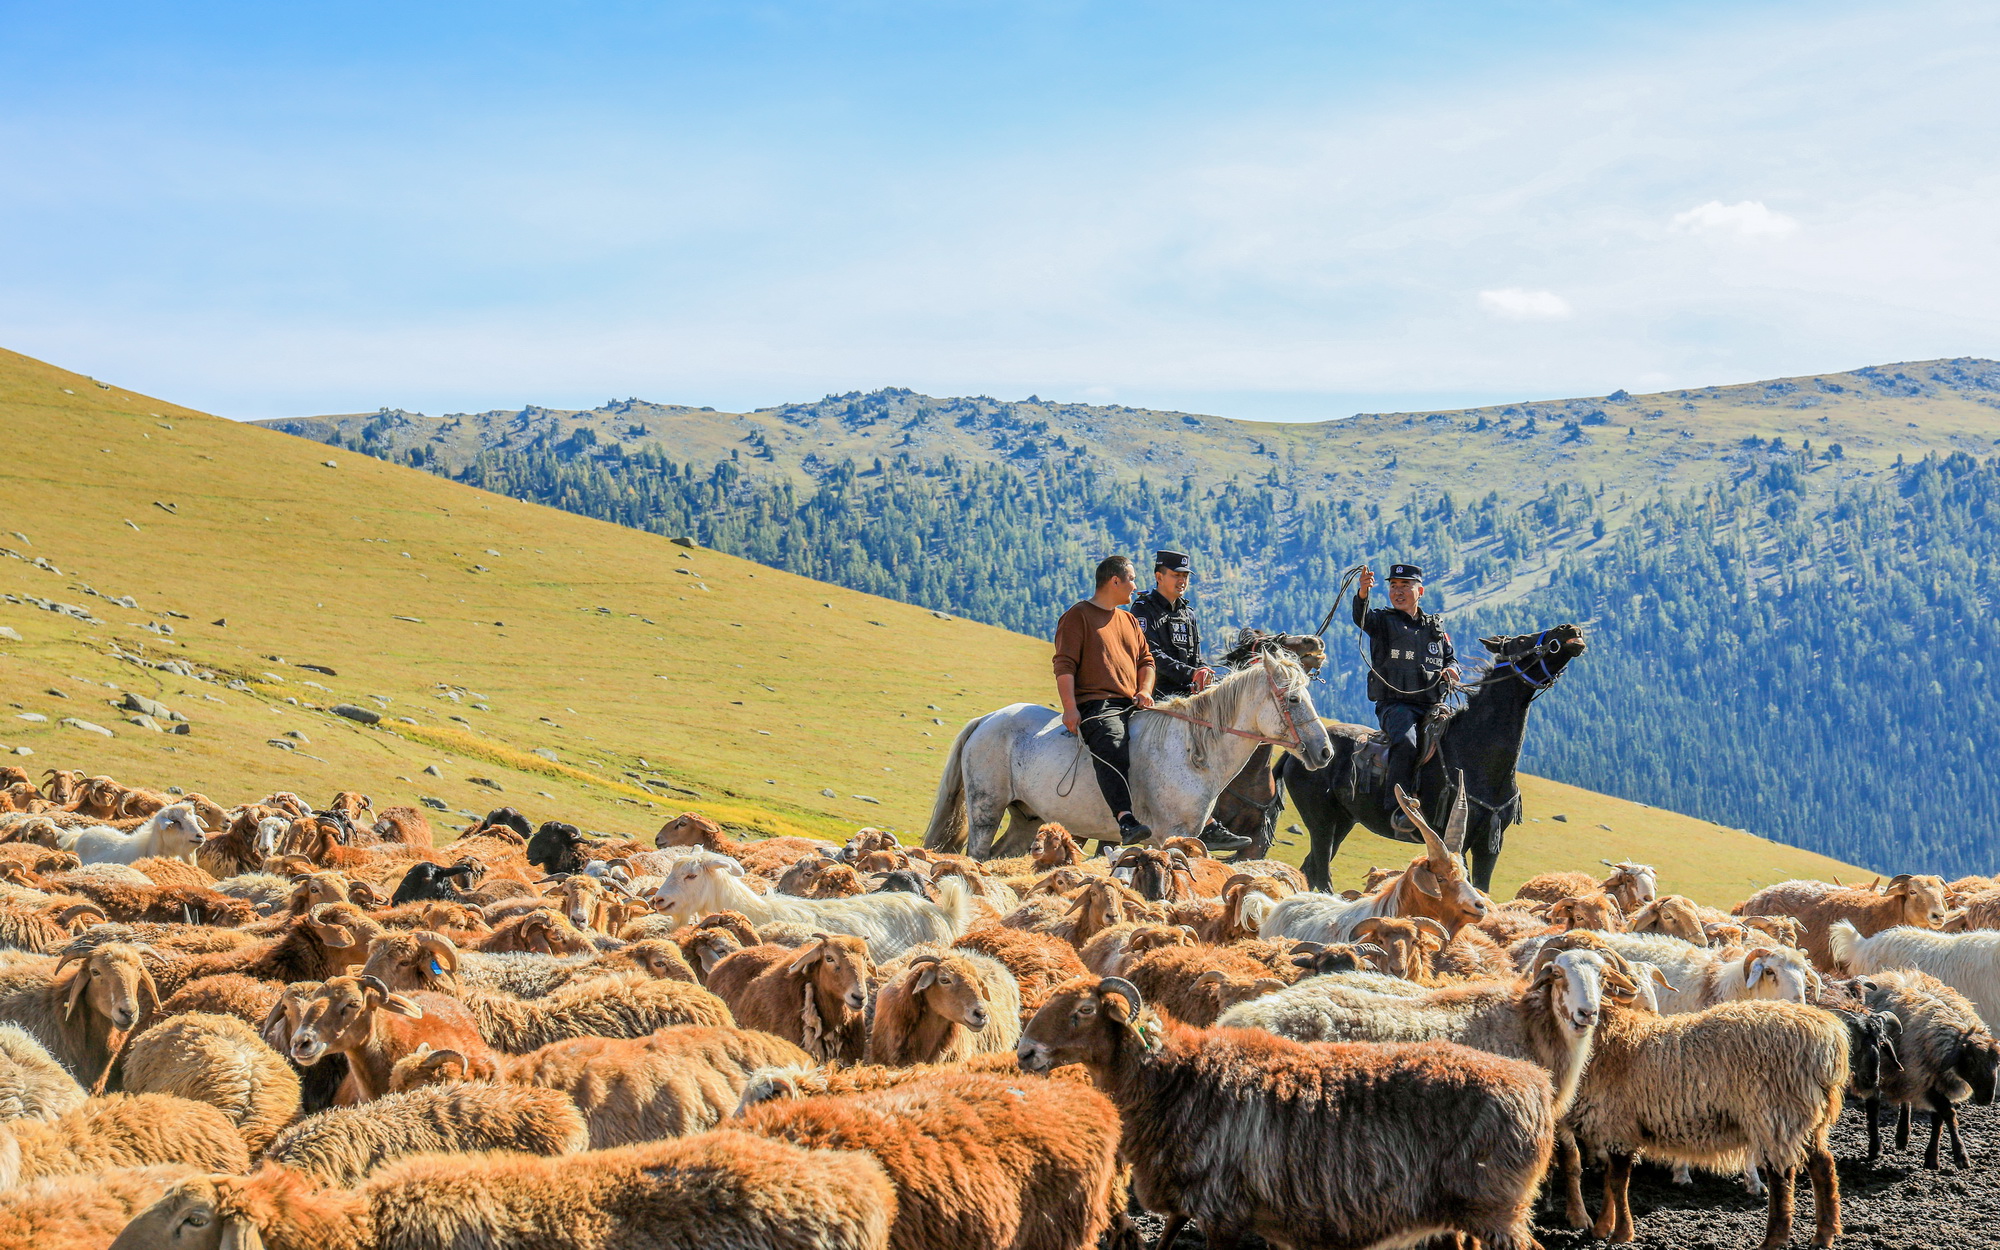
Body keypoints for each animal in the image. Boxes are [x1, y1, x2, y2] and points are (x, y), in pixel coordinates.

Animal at [924, 644, 1336, 856]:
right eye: (1294, 698)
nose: (1325, 752)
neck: (1193, 751)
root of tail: (988, 719)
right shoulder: (1171, 835)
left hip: (1027, 818)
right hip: (986, 810)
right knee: (978, 854)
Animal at [1272, 620, 1584, 892]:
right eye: (1520, 640)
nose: (1570, 629)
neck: (1477, 755)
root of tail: (1295, 755)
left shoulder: (1489, 844)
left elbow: (1483, 889)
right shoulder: (1457, 837)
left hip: (1343, 821)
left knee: (1311, 869)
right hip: (1321, 822)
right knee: (1321, 873)